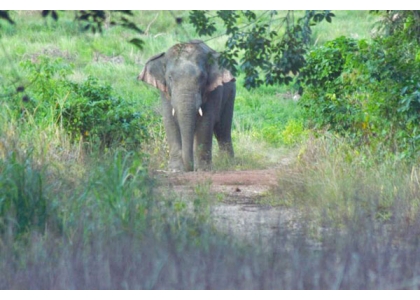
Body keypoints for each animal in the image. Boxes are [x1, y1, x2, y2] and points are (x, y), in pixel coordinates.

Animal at [139, 39, 235, 172]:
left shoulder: (213, 91)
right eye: (169, 77)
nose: (189, 168)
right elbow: (170, 122)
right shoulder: (165, 92)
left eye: (202, 78)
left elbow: (205, 123)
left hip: (230, 93)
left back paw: (228, 163)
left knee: (223, 129)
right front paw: (175, 170)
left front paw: (203, 169)